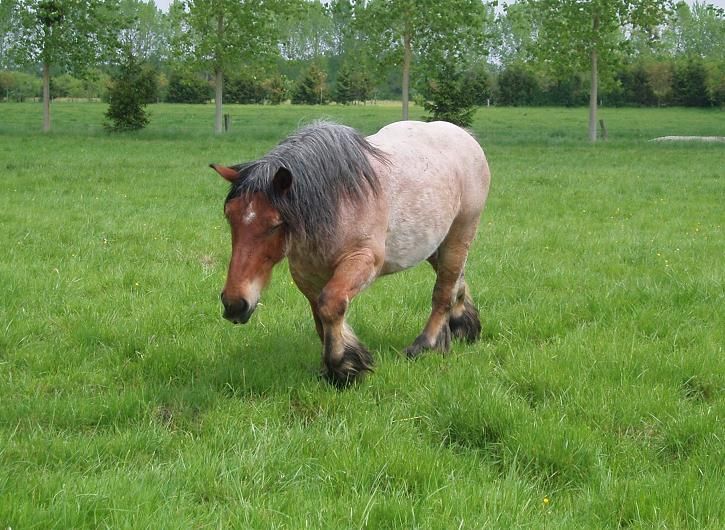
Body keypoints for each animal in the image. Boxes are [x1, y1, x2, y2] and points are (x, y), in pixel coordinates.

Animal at [211, 120, 491, 387]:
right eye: (230, 217)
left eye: (275, 224)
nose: (235, 304)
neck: (338, 201)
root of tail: (464, 136)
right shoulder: (306, 274)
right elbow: (320, 317)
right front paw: (335, 366)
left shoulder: (362, 261)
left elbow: (331, 305)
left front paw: (344, 368)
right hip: (433, 242)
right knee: (456, 281)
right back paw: (463, 327)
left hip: (460, 233)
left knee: (444, 291)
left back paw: (424, 345)